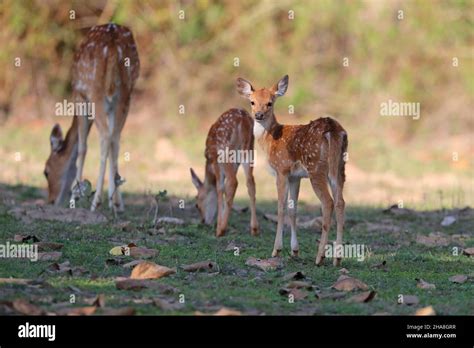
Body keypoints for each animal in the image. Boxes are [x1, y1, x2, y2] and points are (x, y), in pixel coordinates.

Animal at [43, 23, 140, 212]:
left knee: (105, 136)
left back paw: (96, 202)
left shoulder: (79, 95)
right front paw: (114, 201)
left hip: (95, 90)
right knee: (115, 138)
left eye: (46, 172)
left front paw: (76, 196)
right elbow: (112, 146)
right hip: (125, 93)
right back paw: (116, 203)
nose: (51, 201)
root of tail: (112, 44)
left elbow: (82, 147)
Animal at [191, 108, 260, 237]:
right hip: (249, 151)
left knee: (234, 182)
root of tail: (243, 119)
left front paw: (219, 225)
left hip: (226, 151)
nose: (203, 221)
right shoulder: (235, 164)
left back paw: (221, 230)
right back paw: (254, 229)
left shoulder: (215, 160)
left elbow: (220, 188)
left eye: (196, 205)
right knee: (250, 182)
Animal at [237, 75, 348, 266]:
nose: (258, 115)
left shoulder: (281, 169)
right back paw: (337, 258)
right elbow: (292, 209)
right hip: (340, 167)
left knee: (328, 202)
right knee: (341, 201)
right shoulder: (295, 177)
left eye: (269, 103)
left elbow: (281, 207)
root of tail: (332, 130)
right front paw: (295, 251)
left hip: (316, 168)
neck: (270, 140)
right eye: (252, 102)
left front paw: (276, 250)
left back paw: (320, 257)